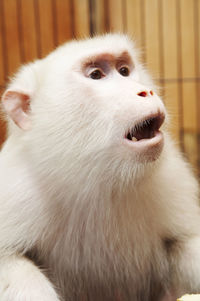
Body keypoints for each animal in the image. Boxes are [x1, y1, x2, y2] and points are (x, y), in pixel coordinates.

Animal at [0, 34, 200, 300]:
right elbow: (9, 260)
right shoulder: (18, 190)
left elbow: (183, 243)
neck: (98, 181)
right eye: (96, 75)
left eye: (124, 71)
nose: (145, 91)